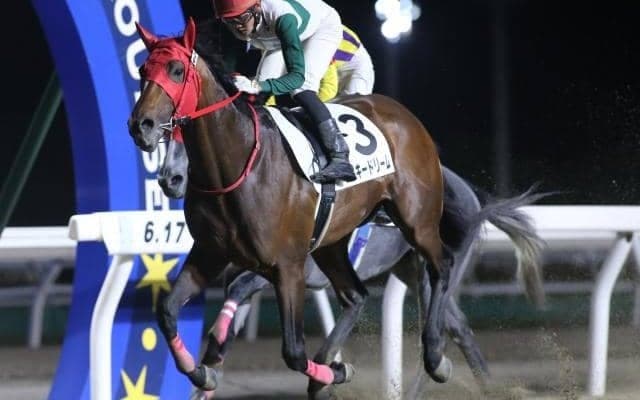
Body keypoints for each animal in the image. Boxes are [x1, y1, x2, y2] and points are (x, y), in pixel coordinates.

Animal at [128, 17, 504, 398]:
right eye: (143, 69)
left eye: (176, 70)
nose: (141, 126)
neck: (236, 164)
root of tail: (406, 117)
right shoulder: (211, 253)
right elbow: (167, 311)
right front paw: (203, 373)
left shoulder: (286, 266)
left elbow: (292, 350)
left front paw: (336, 370)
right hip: (339, 245)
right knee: (358, 296)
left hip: (418, 225)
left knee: (442, 270)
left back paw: (435, 358)